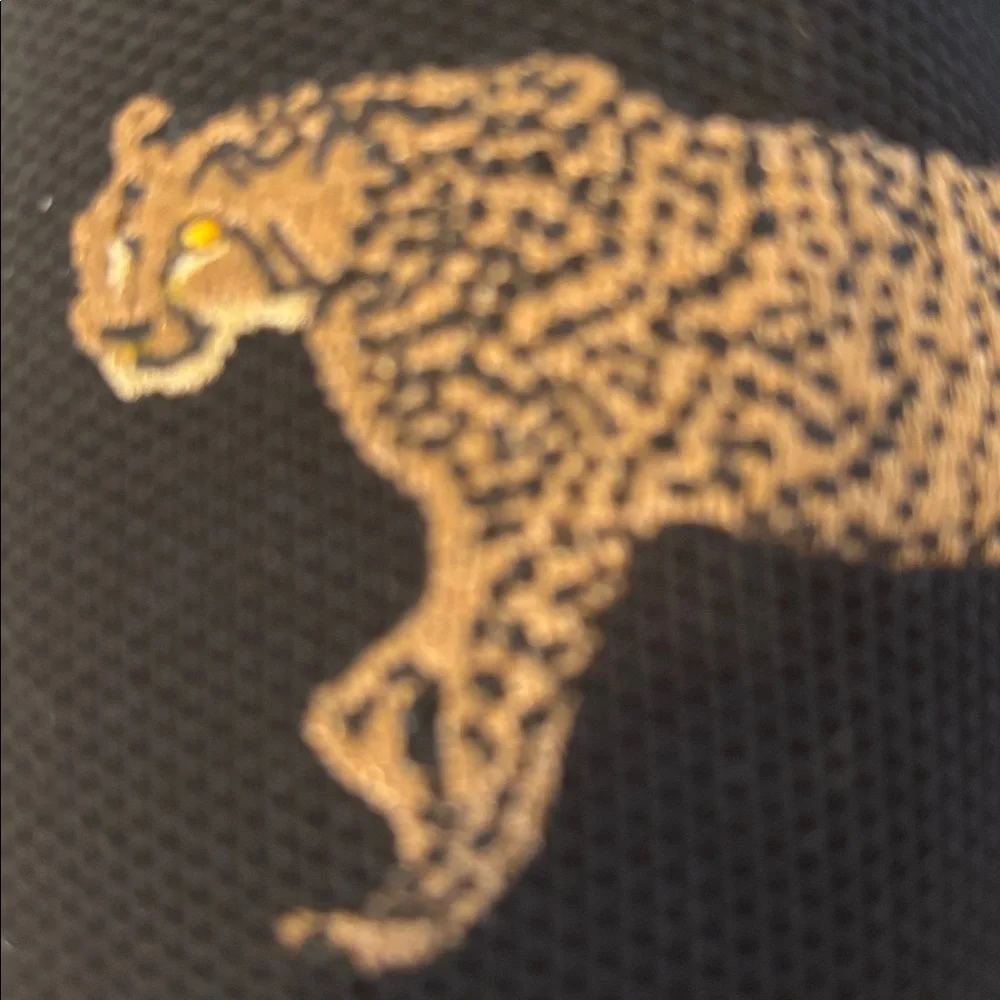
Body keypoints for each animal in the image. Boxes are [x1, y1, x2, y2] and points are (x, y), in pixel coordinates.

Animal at [68, 53, 999, 974]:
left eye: (199, 238)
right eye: (99, 248)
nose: (112, 334)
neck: (367, 218)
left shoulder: (555, 526)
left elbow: (488, 725)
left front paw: (418, 914)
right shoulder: (487, 527)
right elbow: (366, 700)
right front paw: (411, 820)